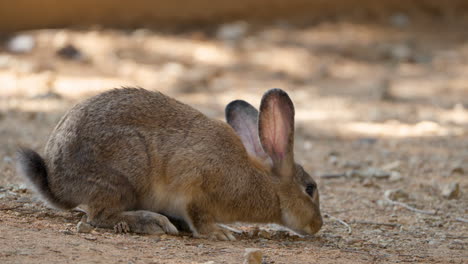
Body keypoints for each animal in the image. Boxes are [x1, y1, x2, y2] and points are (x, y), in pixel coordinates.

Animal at [15, 87, 322, 240]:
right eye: (310, 188)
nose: (318, 225)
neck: (261, 181)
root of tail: (57, 182)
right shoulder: (197, 186)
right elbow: (199, 215)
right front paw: (220, 233)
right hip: (123, 177)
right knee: (100, 216)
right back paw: (153, 223)